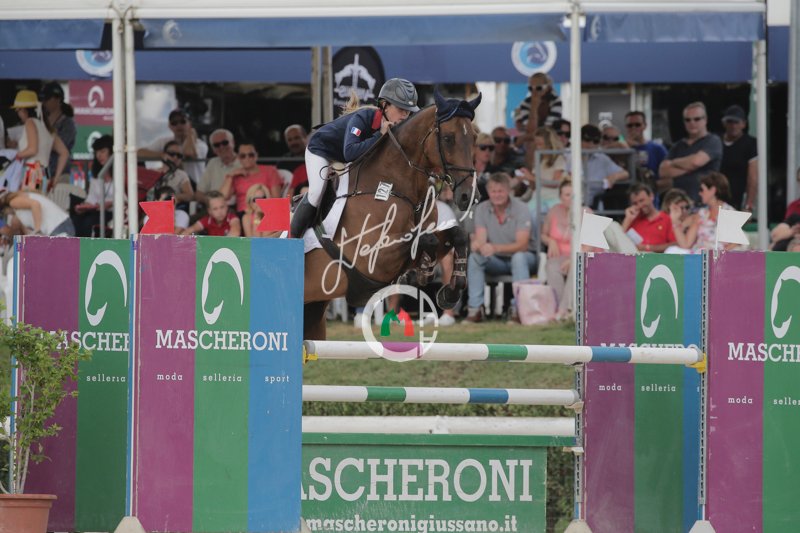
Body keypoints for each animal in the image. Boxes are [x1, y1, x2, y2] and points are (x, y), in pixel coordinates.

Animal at [302, 88, 481, 340]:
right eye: (448, 138)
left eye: (474, 138)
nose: (468, 196)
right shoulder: (372, 257)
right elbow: (426, 239)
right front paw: (423, 272)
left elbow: (457, 235)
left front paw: (449, 291)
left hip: (314, 313)